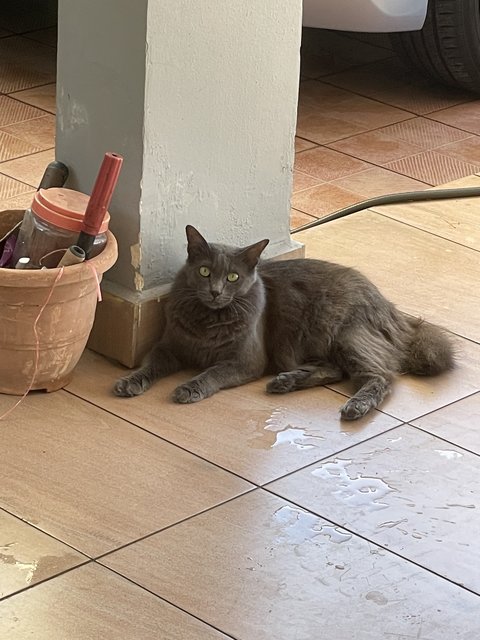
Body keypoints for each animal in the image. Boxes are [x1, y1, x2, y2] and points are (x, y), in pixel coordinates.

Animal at [113, 225, 454, 420]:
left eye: (233, 277)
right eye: (205, 272)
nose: (215, 291)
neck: (209, 320)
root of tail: (391, 307)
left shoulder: (245, 361)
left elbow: (212, 373)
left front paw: (189, 388)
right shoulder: (168, 347)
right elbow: (150, 365)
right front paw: (130, 382)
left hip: (346, 335)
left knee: (381, 377)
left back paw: (354, 407)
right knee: (335, 370)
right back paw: (285, 382)